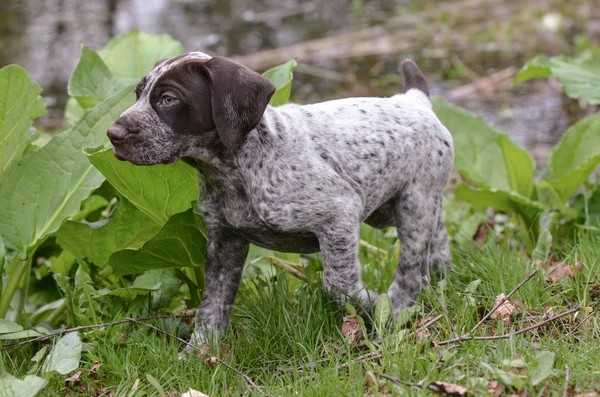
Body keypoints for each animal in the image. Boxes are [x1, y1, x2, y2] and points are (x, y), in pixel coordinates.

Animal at [109, 52, 454, 344]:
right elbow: (212, 306)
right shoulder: (224, 242)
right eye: (137, 95)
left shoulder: (339, 214)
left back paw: (395, 309)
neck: (236, 171)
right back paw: (442, 280)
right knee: (437, 244)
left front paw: (370, 304)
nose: (113, 134)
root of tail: (414, 100)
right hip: (410, 206)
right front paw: (200, 354)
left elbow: (338, 285)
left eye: (168, 99)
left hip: (414, 204)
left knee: (410, 272)